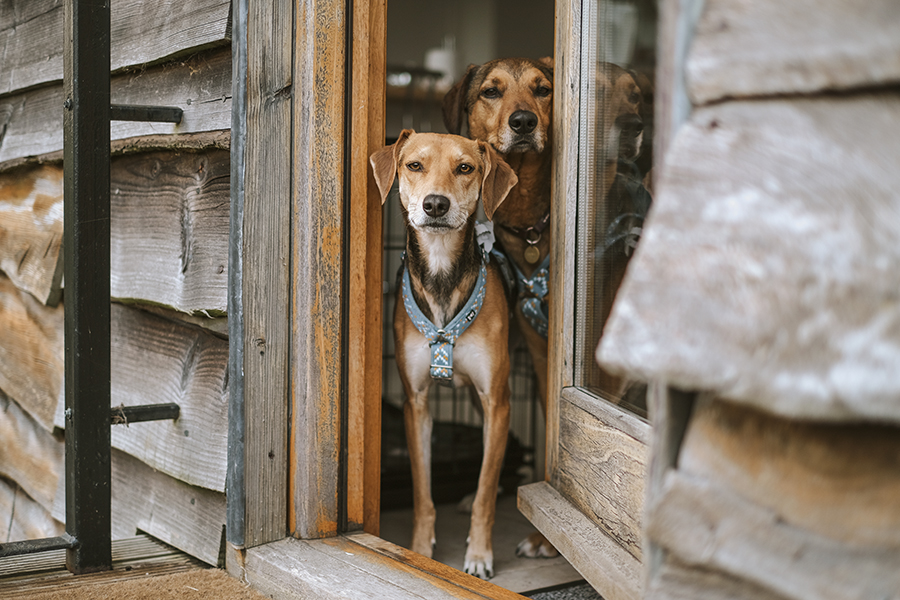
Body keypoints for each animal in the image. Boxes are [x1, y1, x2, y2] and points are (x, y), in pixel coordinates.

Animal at [370, 129, 516, 580]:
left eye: (465, 168)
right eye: (414, 165)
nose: (435, 204)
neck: (440, 274)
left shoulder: (497, 400)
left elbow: (486, 491)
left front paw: (479, 555)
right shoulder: (415, 403)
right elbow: (422, 490)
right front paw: (420, 549)